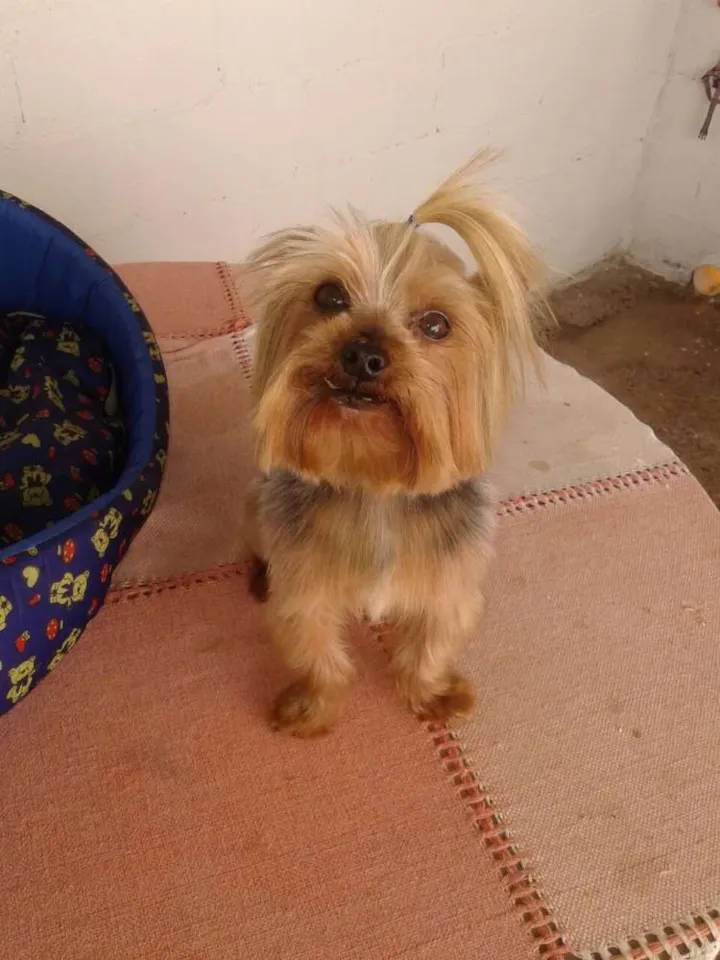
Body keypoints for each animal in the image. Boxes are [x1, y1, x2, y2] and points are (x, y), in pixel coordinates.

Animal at [243, 152, 547, 737]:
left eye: (436, 324)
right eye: (329, 295)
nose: (362, 355)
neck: (373, 484)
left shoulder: (449, 584)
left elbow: (432, 643)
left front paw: (432, 695)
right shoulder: (305, 589)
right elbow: (317, 651)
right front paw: (312, 709)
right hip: (257, 510)